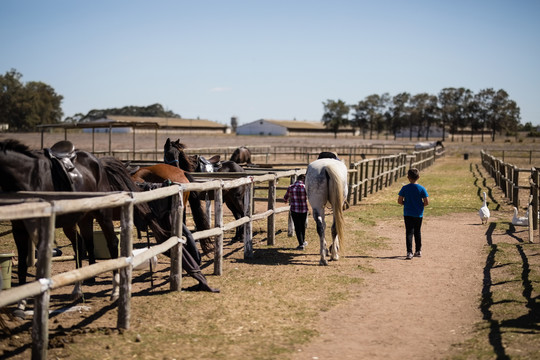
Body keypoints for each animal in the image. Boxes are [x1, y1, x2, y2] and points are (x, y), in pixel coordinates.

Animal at [0, 140, 120, 306]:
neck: (27, 176)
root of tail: (98, 162)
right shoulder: (19, 230)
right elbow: (23, 265)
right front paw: (21, 303)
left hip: (103, 216)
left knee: (112, 243)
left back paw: (115, 291)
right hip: (79, 220)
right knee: (82, 244)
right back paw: (78, 288)